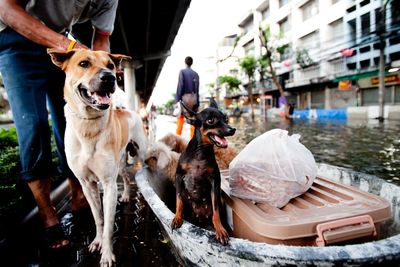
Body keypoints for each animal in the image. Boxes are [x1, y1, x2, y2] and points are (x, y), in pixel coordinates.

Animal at [47, 49, 147, 266]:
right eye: (84, 63)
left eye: (110, 65)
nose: (110, 78)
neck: (88, 125)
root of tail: (128, 111)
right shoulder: (87, 184)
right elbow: (98, 218)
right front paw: (97, 242)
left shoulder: (108, 184)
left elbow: (109, 224)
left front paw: (107, 254)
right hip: (120, 162)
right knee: (126, 178)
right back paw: (126, 195)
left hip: (140, 153)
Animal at [171, 98, 234, 245]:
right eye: (210, 120)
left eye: (226, 119)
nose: (232, 129)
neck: (200, 154)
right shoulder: (178, 176)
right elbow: (179, 201)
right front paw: (177, 217)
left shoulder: (215, 181)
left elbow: (216, 209)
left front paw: (220, 230)